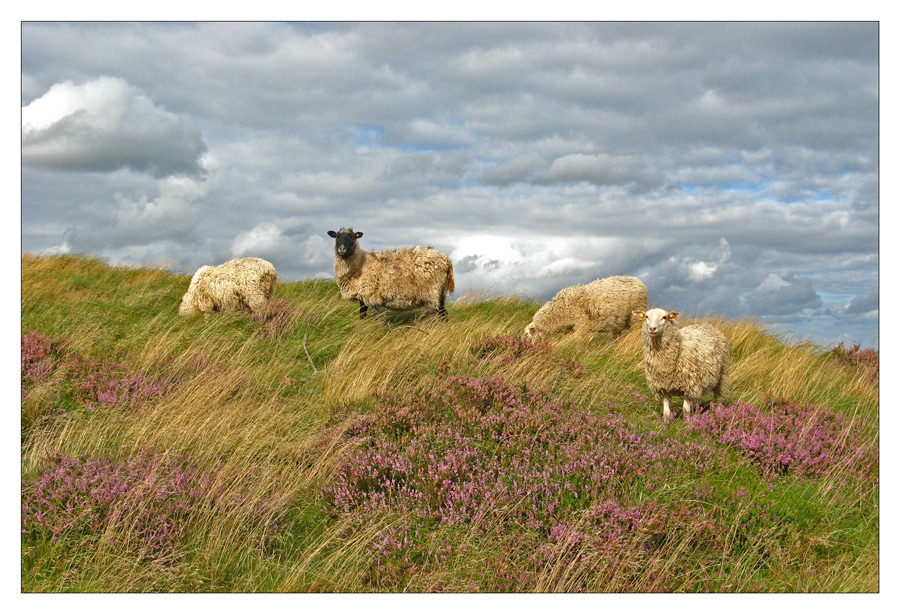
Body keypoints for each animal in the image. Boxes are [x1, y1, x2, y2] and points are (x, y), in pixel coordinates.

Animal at [326, 227, 458, 322]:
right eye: (337, 236)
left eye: (352, 237)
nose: (342, 249)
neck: (360, 263)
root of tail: (446, 259)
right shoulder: (363, 297)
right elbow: (362, 315)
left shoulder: (373, 297)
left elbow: (378, 319)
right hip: (441, 293)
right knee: (444, 314)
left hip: (431, 292)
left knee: (432, 316)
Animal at [524, 278, 652, 342]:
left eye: (528, 334)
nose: (529, 346)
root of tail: (639, 281)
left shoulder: (581, 323)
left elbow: (575, 340)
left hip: (636, 316)